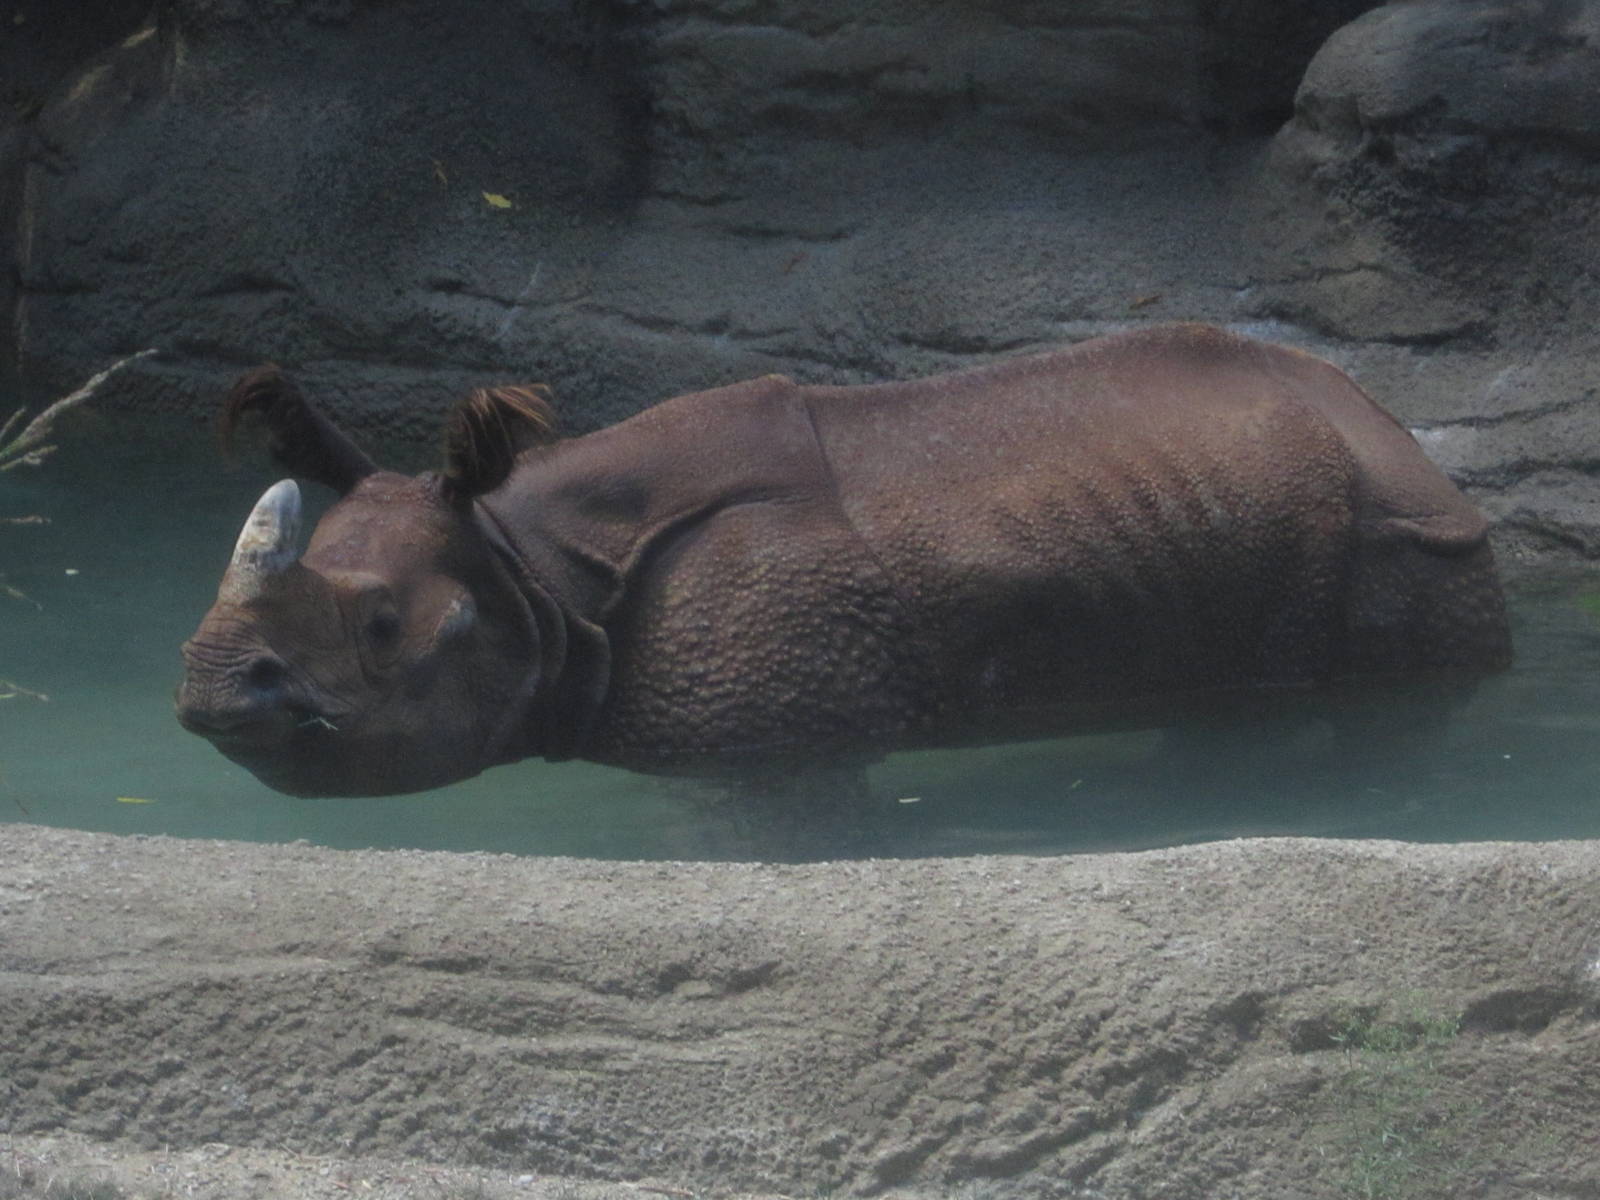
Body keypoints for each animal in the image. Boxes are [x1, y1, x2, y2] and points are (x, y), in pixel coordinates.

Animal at [176, 324, 1511, 799]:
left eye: (384, 628)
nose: (207, 694)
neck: (534, 565)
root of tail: (1399, 436)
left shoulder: (766, 723)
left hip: (1398, 541)